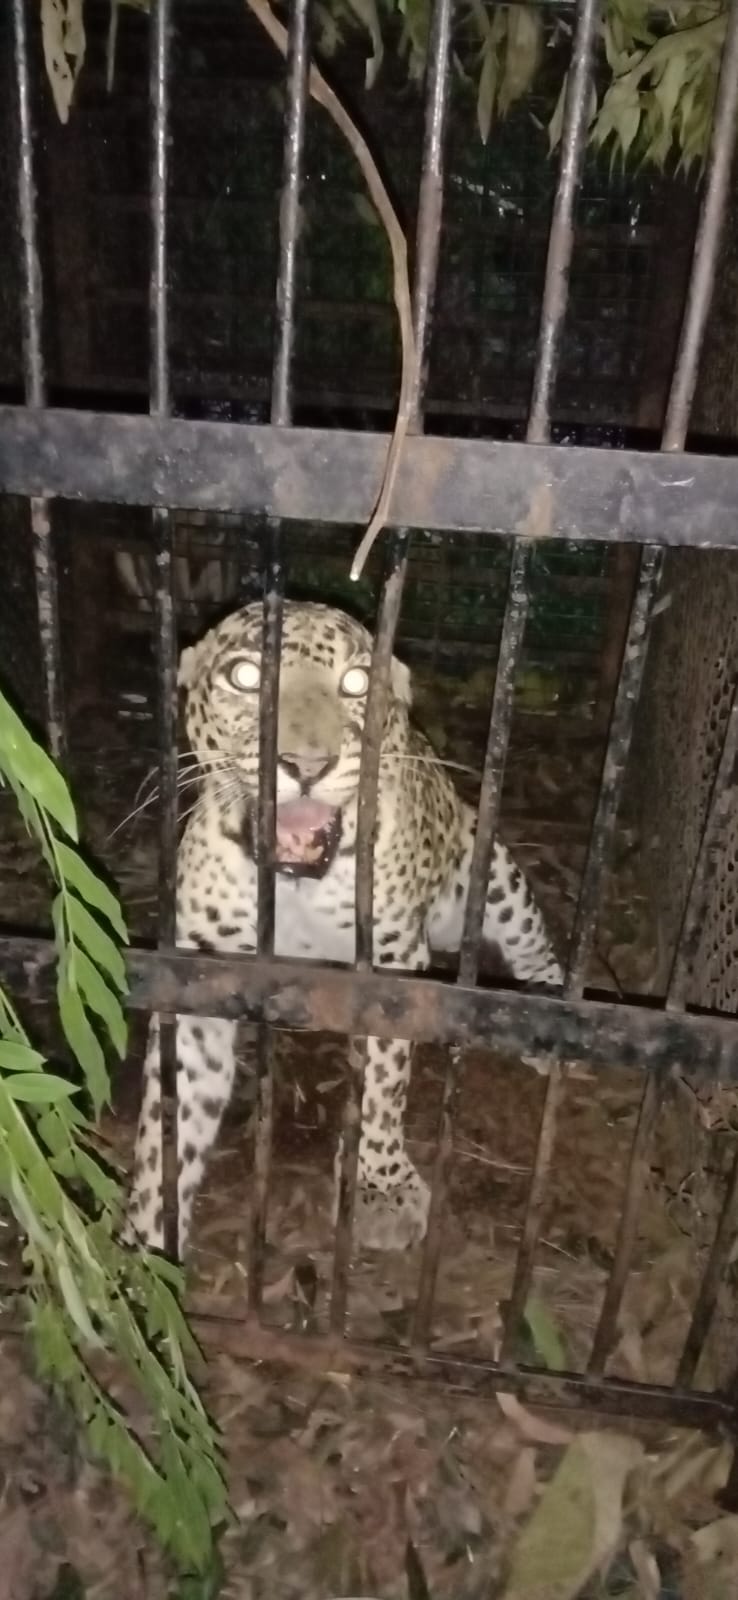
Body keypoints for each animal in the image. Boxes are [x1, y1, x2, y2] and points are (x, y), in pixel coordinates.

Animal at [126, 600, 564, 1257]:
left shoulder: (390, 969)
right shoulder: (199, 975)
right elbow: (170, 1113)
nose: (306, 766)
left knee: (531, 940)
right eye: (246, 677)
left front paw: (379, 1187)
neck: (297, 885)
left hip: (490, 876)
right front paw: (142, 1242)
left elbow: (382, 1085)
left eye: (358, 684)